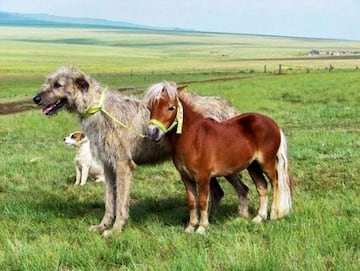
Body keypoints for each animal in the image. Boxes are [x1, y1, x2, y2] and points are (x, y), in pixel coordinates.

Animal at [33, 67, 248, 237]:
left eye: (58, 84)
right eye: (48, 82)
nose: (35, 99)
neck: (99, 109)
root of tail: (228, 107)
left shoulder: (123, 165)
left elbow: (121, 201)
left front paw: (116, 229)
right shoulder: (108, 165)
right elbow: (109, 200)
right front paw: (102, 226)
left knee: (241, 188)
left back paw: (240, 217)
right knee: (219, 192)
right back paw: (208, 220)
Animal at [146, 82, 292, 235]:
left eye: (171, 107)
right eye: (149, 107)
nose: (152, 132)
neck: (194, 138)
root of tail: (273, 123)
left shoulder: (203, 177)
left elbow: (202, 201)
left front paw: (202, 228)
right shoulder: (186, 177)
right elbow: (192, 201)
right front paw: (190, 227)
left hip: (266, 163)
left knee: (275, 183)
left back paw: (274, 214)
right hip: (253, 166)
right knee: (262, 186)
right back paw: (259, 217)